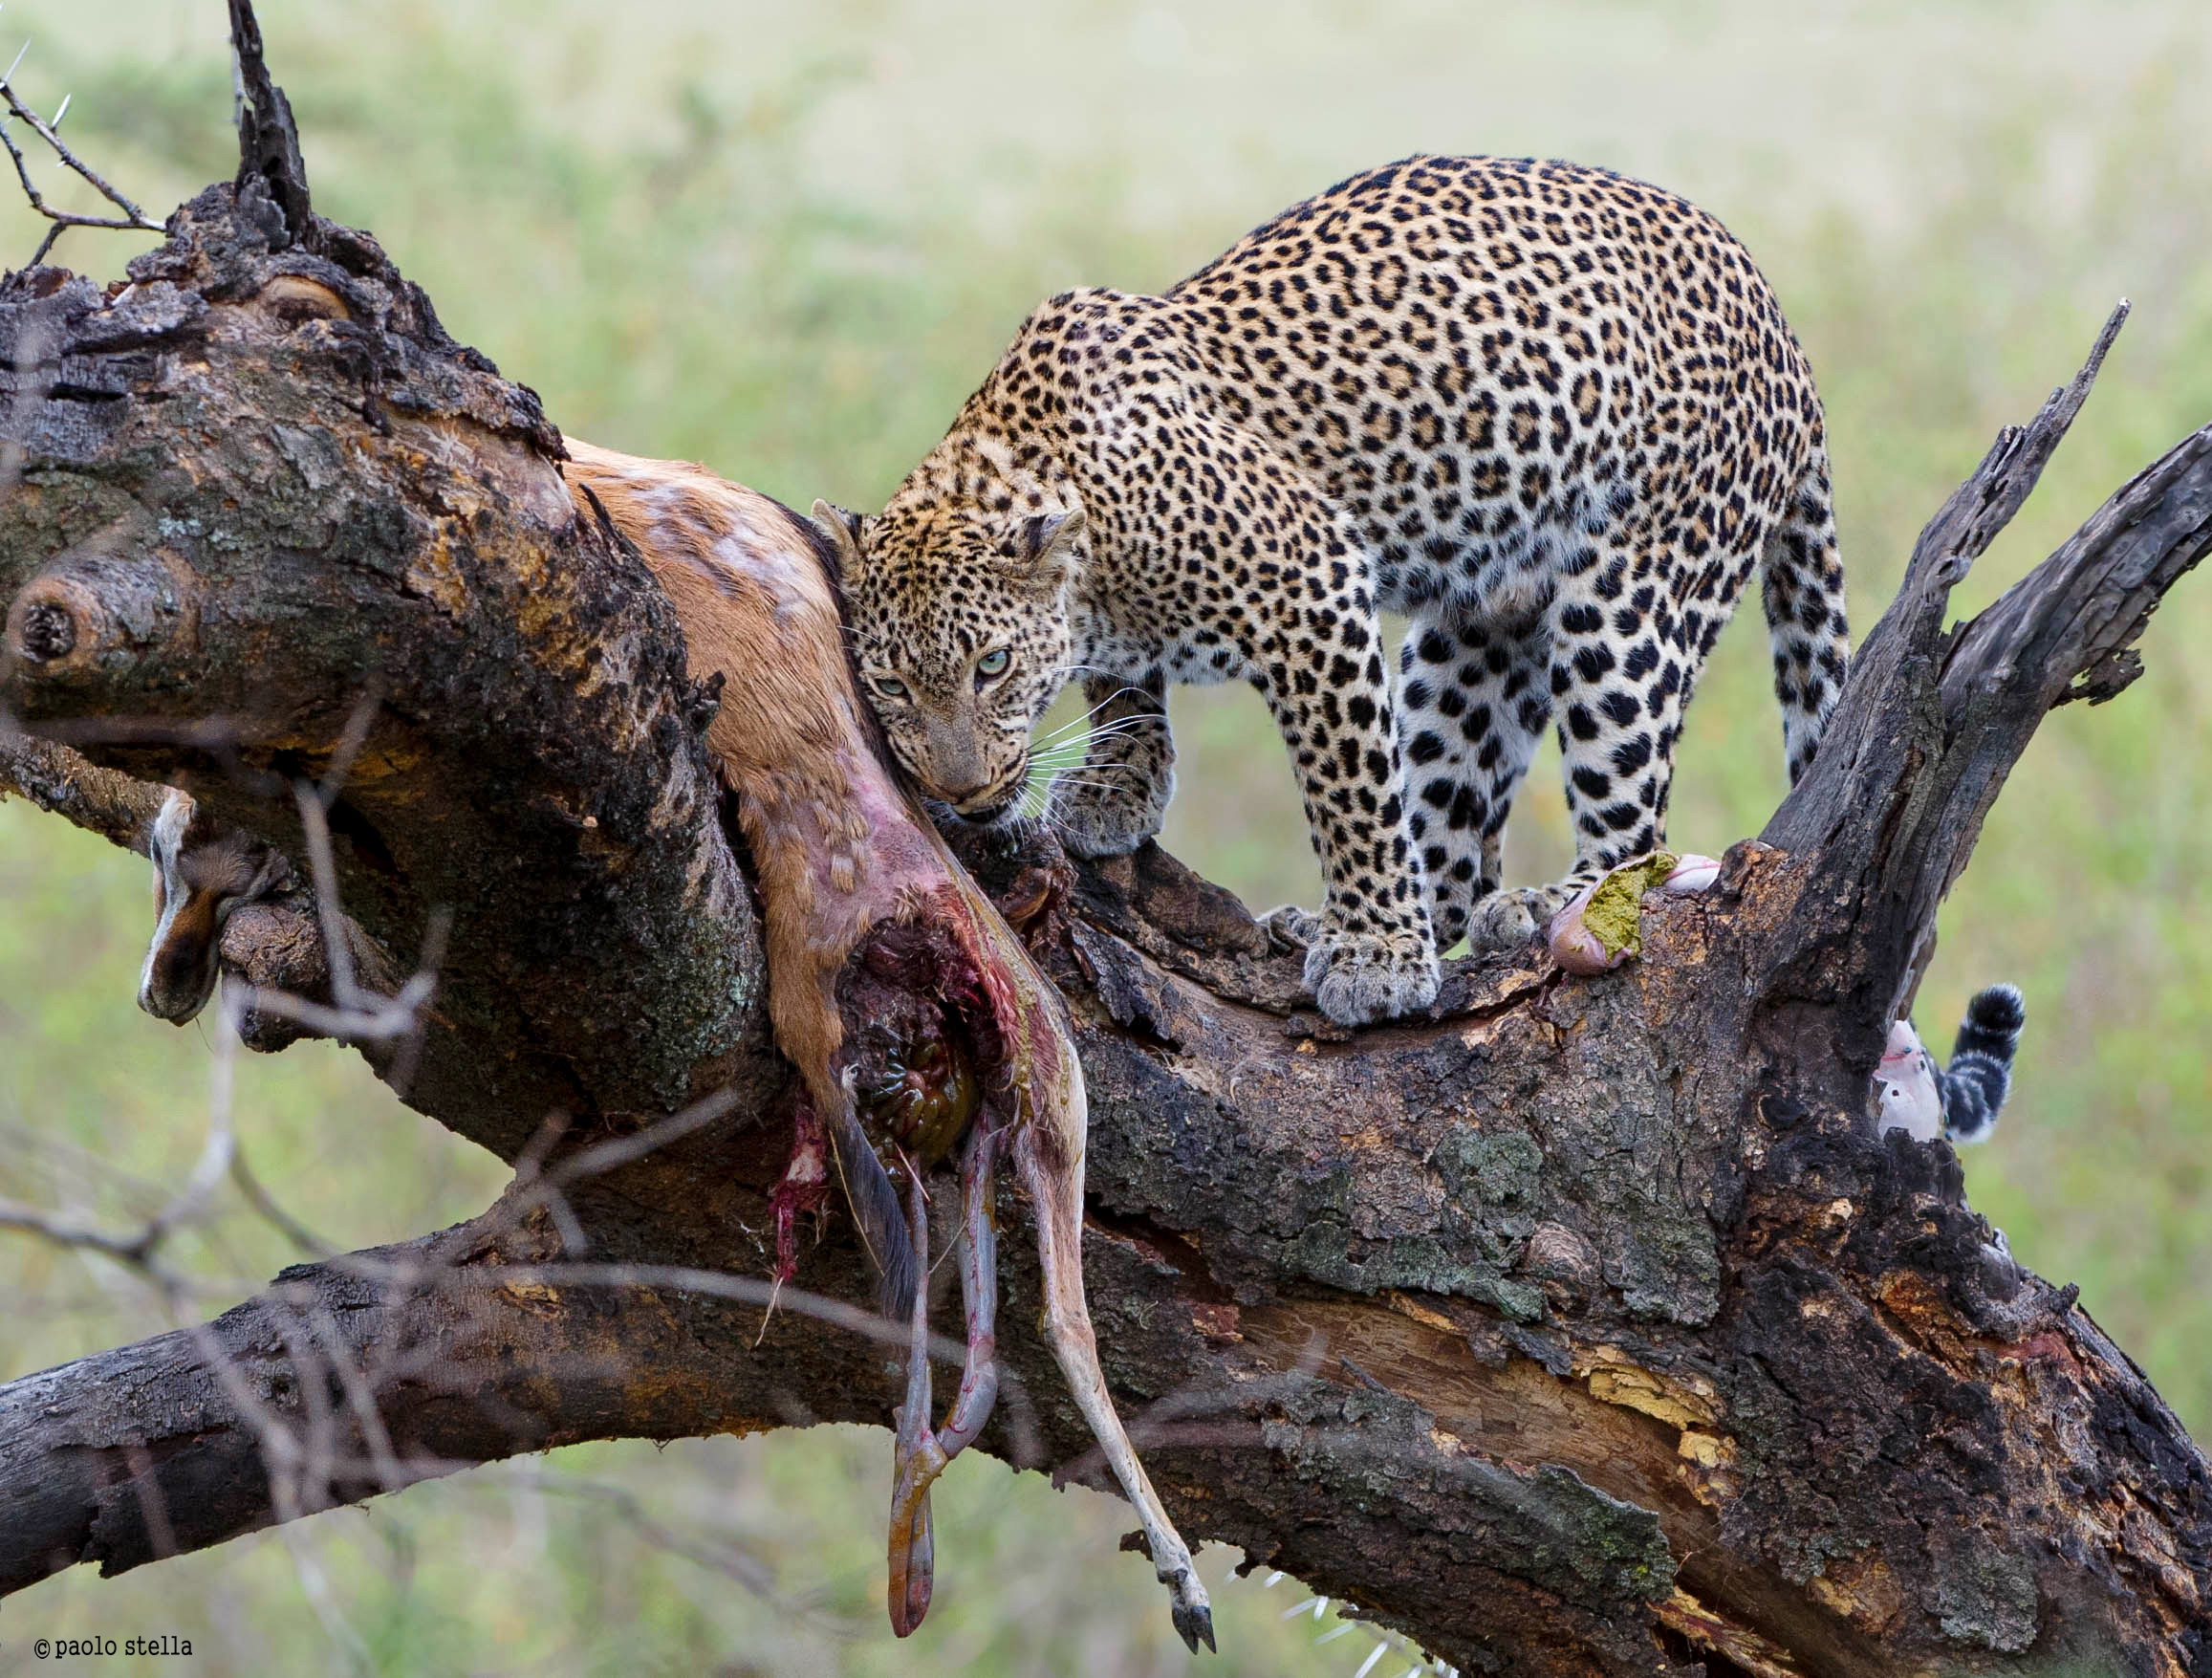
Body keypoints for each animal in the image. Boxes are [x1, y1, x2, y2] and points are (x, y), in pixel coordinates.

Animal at [815, 154, 1851, 1026]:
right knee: (1454, 826)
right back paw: (1380, 920)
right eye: (894, 686)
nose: (959, 790)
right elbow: (1124, 691)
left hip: (1630, 605)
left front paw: (1377, 959)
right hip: (1470, 635)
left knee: (1633, 823)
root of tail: (1788, 334)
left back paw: (1549, 908)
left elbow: (1350, 789)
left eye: (990, 666)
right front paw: (1119, 789)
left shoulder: (1310, 585)